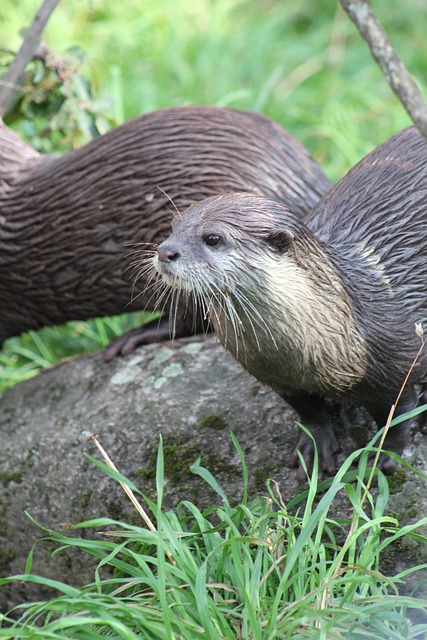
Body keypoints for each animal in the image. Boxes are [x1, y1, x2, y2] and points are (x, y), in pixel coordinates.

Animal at [154, 126, 427, 476]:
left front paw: (381, 458)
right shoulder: (278, 378)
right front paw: (314, 448)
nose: (165, 251)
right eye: (173, 227)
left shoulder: (400, 360)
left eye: (213, 238)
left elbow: (397, 417)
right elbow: (309, 412)